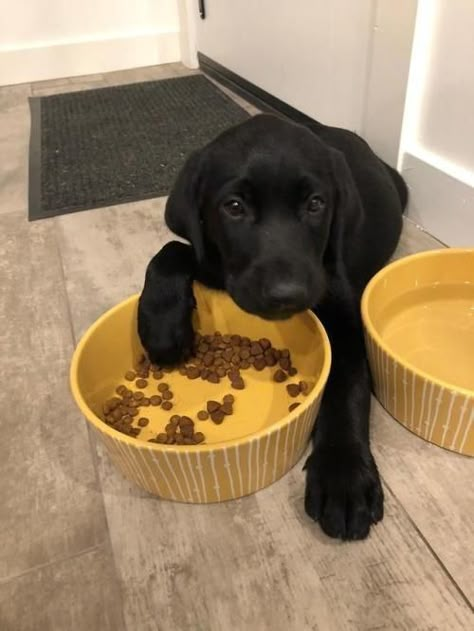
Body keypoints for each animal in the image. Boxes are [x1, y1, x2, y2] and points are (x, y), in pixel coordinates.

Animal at [138, 112, 408, 540]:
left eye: (316, 204)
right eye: (233, 207)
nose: (287, 293)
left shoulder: (343, 315)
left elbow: (346, 391)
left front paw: (344, 477)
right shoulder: (215, 260)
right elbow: (170, 251)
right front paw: (162, 327)